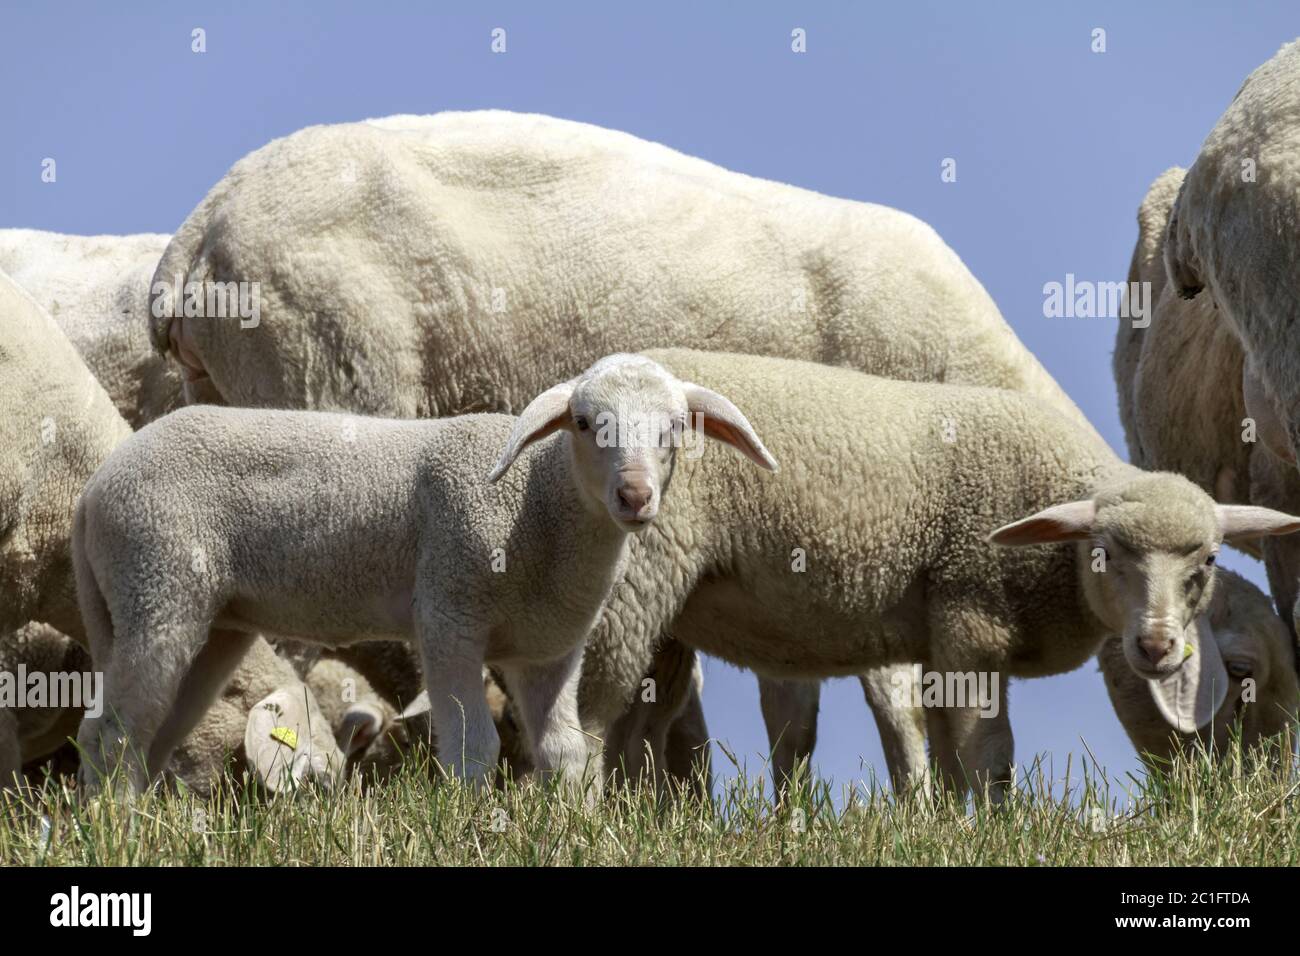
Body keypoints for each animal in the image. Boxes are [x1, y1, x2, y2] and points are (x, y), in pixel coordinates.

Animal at [572, 348, 1300, 801]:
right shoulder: (972, 618)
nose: (1155, 646)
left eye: (1206, 562)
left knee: (639, 726)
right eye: (1106, 554)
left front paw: (952, 826)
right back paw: (582, 817)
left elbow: (950, 757)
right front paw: (1001, 829)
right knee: (590, 713)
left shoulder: (941, 638)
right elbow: (991, 754)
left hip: (669, 614)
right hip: (633, 584)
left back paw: (630, 820)